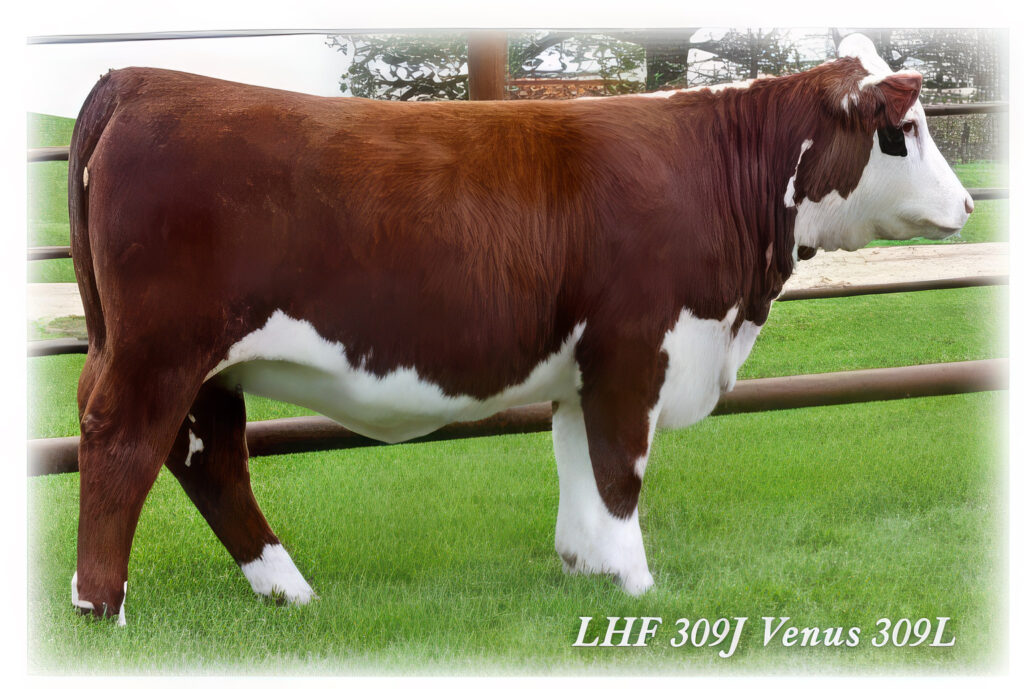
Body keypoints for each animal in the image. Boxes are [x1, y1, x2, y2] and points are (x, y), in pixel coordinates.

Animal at [66, 34, 972, 624]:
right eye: (904, 131)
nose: (966, 202)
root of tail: (140, 79)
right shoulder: (634, 348)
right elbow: (620, 471)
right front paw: (639, 588)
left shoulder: (583, 366)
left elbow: (578, 465)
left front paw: (585, 568)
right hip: (159, 348)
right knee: (124, 441)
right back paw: (101, 605)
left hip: (195, 362)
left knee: (208, 458)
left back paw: (288, 590)